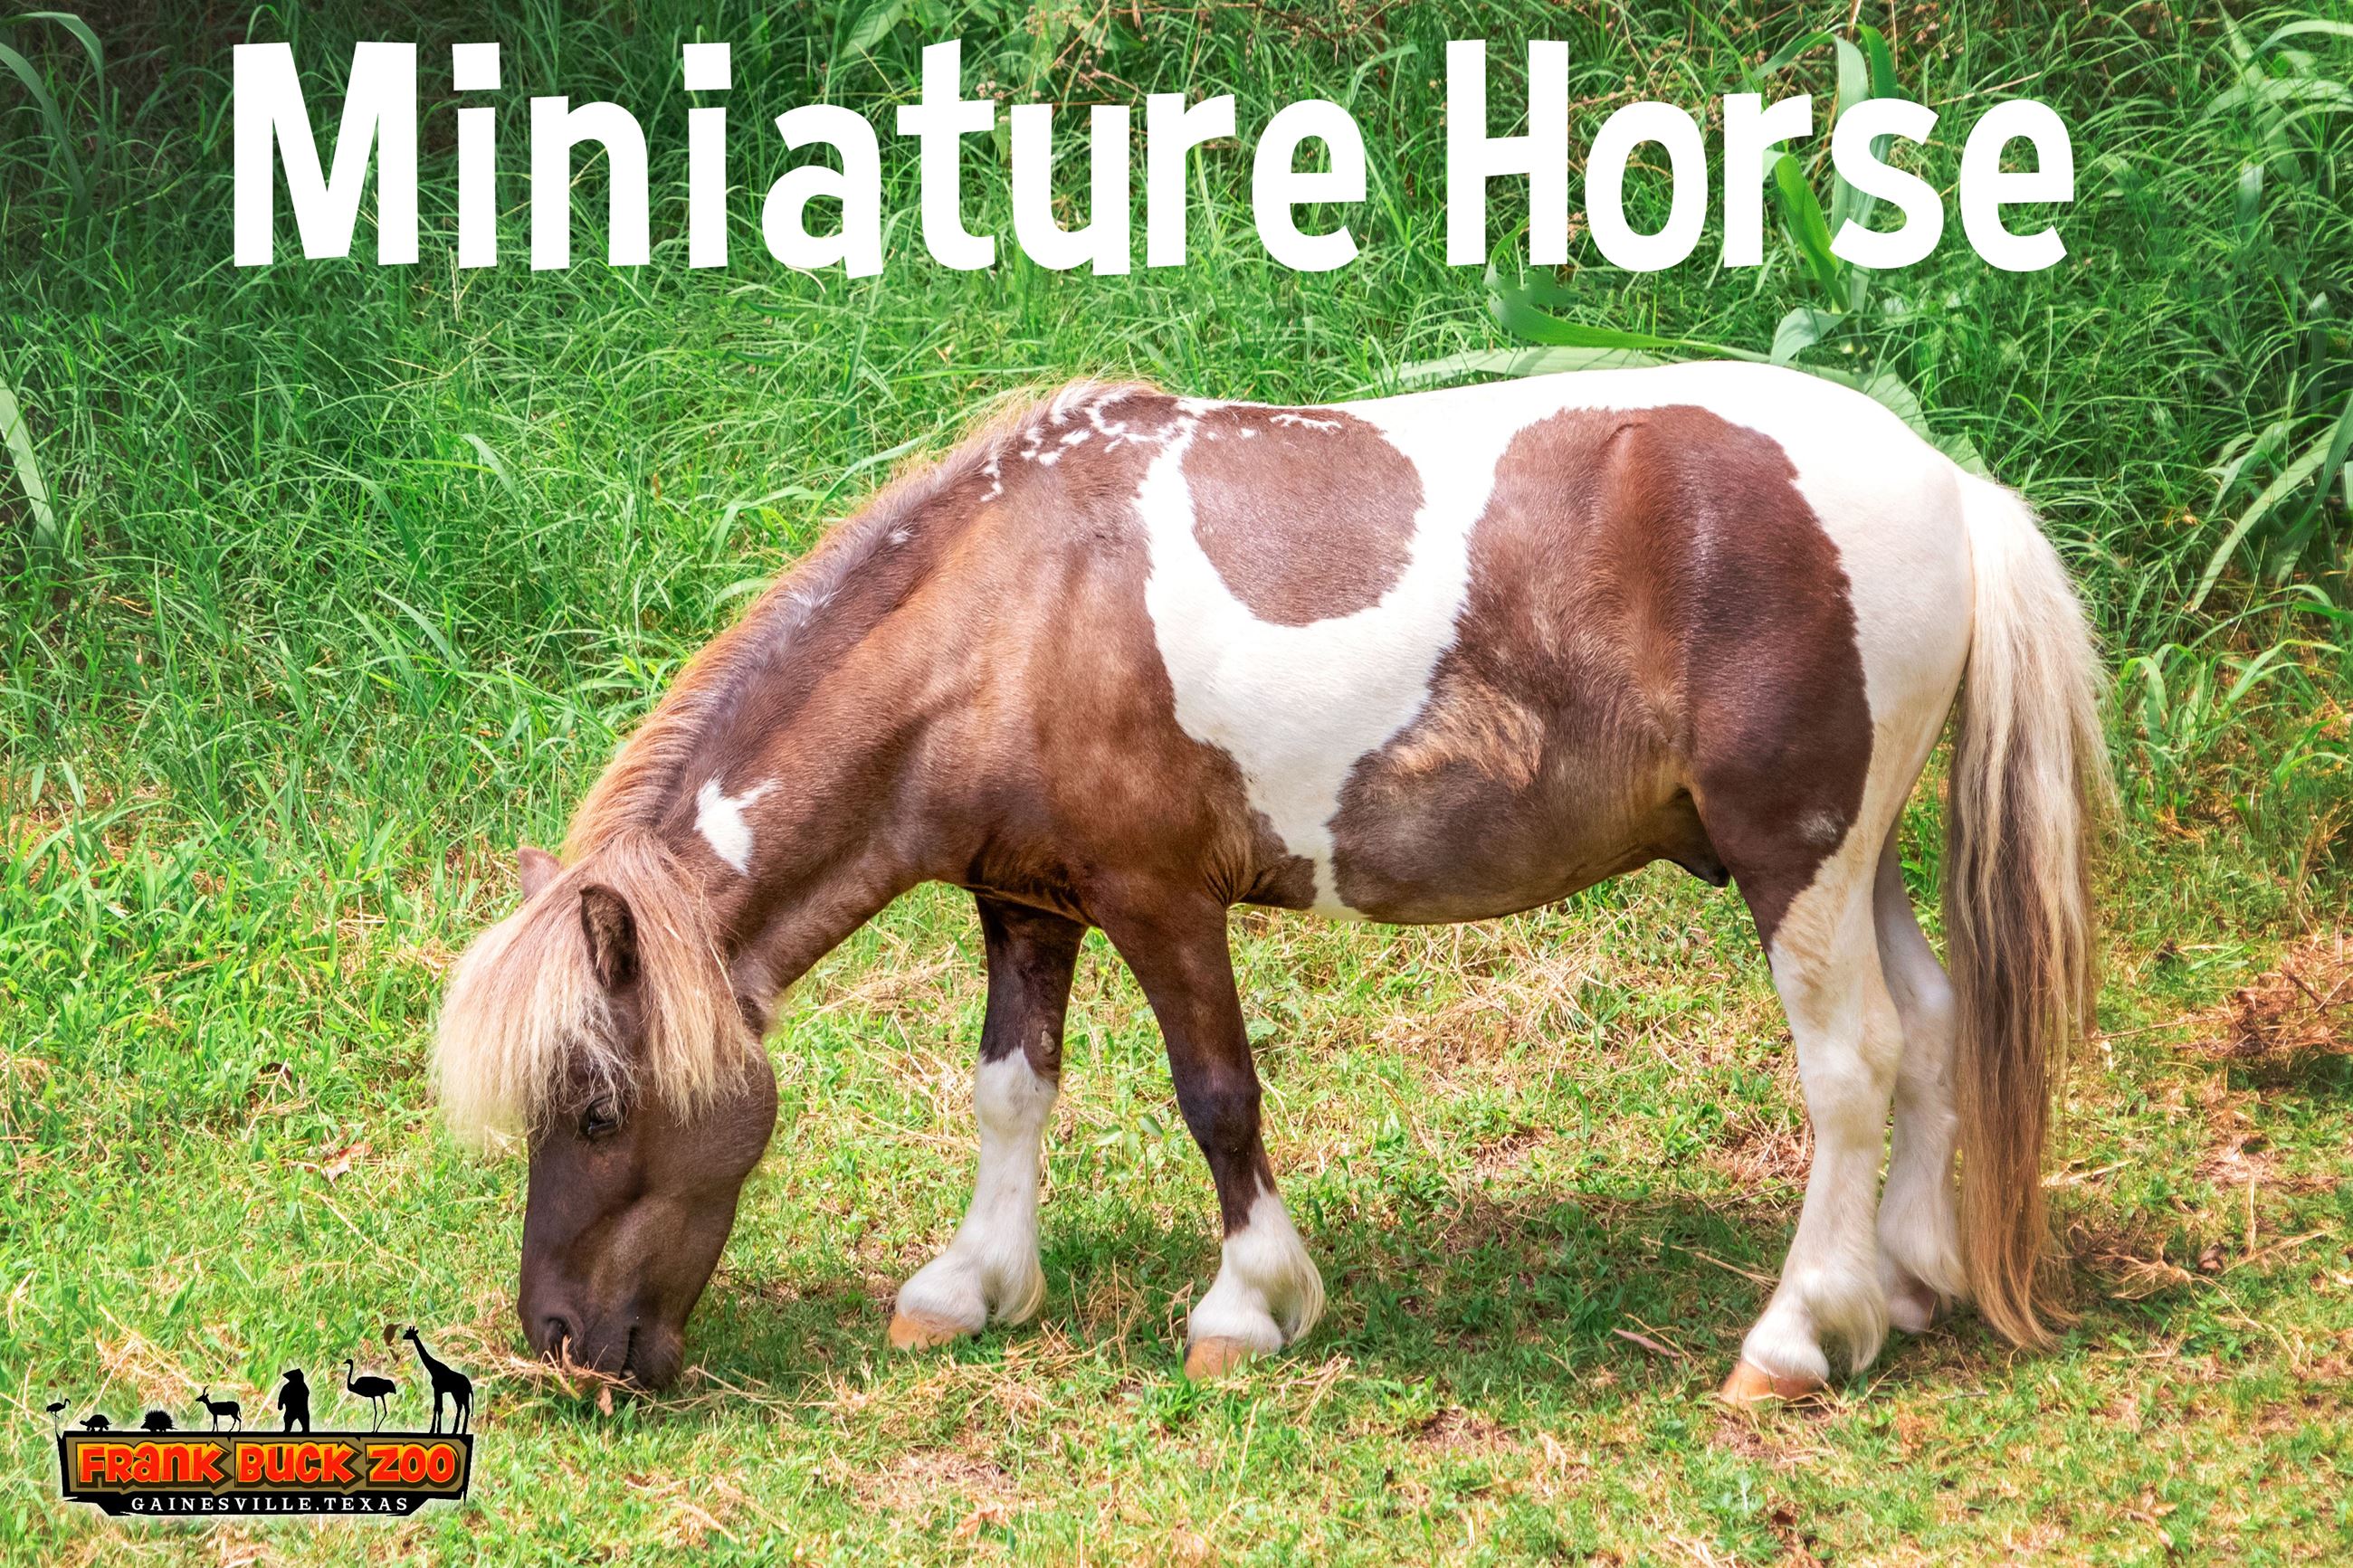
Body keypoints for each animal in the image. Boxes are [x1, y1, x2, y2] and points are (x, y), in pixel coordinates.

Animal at [434, 362, 2106, 1403]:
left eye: (597, 1108)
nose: (560, 1338)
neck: (1011, 610)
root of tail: (1949, 487)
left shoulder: (1159, 897)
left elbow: (1216, 1097)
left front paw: (1248, 1306)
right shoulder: (1025, 901)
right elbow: (1010, 1092)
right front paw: (970, 1285)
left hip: (1793, 861)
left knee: (1852, 1065)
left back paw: (1795, 1337)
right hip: (1849, 862)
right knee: (1933, 1025)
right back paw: (1902, 1287)